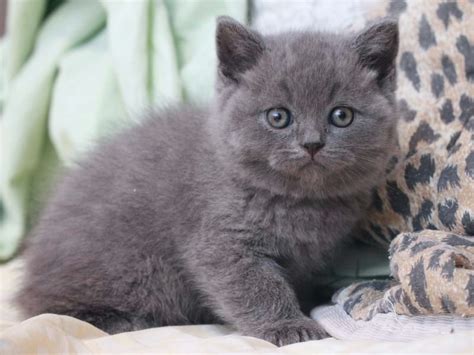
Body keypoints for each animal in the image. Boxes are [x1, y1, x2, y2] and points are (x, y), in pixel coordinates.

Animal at [16, 17, 398, 348]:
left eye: (342, 115)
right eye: (278, 117)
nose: (312, 144)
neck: (299, 201)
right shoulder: (222, 241)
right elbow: (256, 286)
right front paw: (288, 325)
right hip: (132, 270)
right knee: (50, 307)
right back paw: (122, 320)